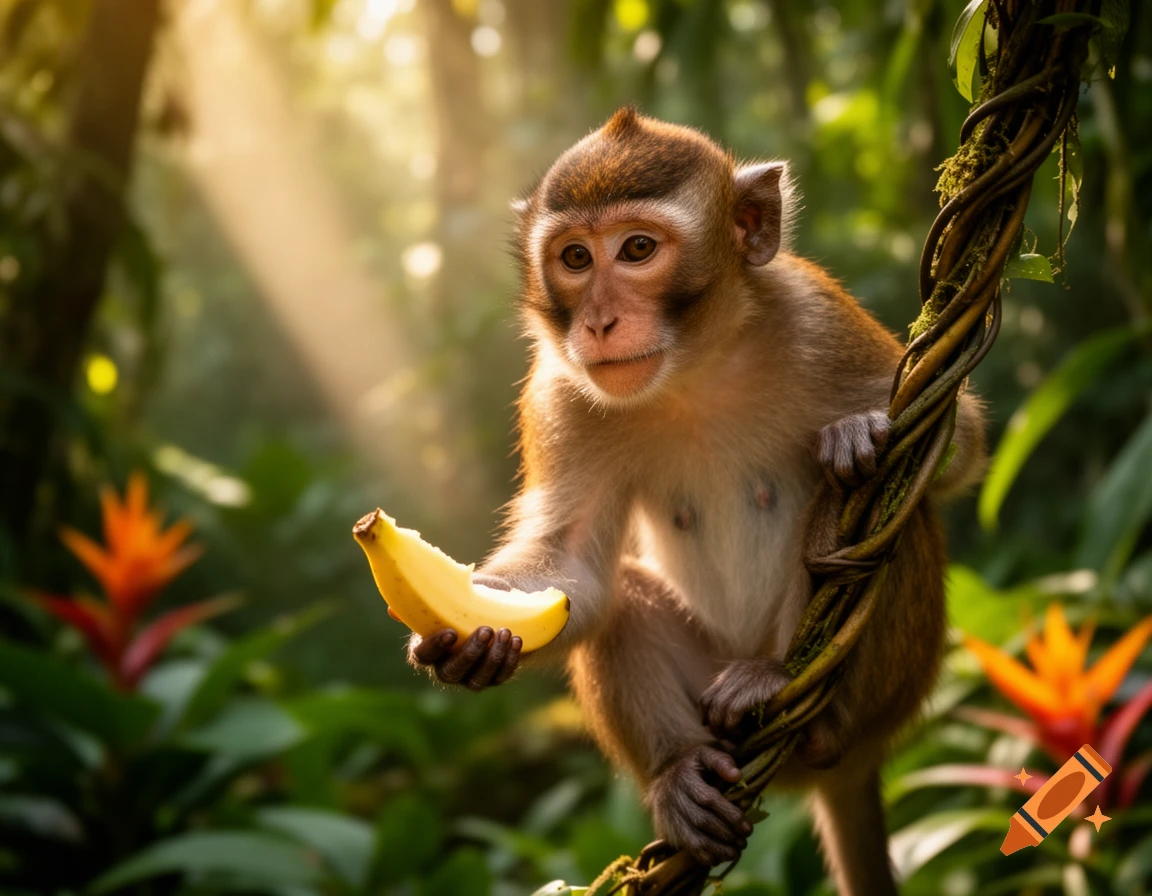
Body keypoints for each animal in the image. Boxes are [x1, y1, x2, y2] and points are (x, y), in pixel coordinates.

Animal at [407, 107, 985, 896]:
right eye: (575, 258)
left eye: (638, 249)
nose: (599, 322)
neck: (695, 367)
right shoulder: (562, 392)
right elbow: (573, 568)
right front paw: (478, 641)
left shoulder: (819, 319)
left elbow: (955, 437)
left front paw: (857, 431)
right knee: (619, 599)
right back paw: (680, 777)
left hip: (878, 699)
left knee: (893, 518)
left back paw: (787, 684)